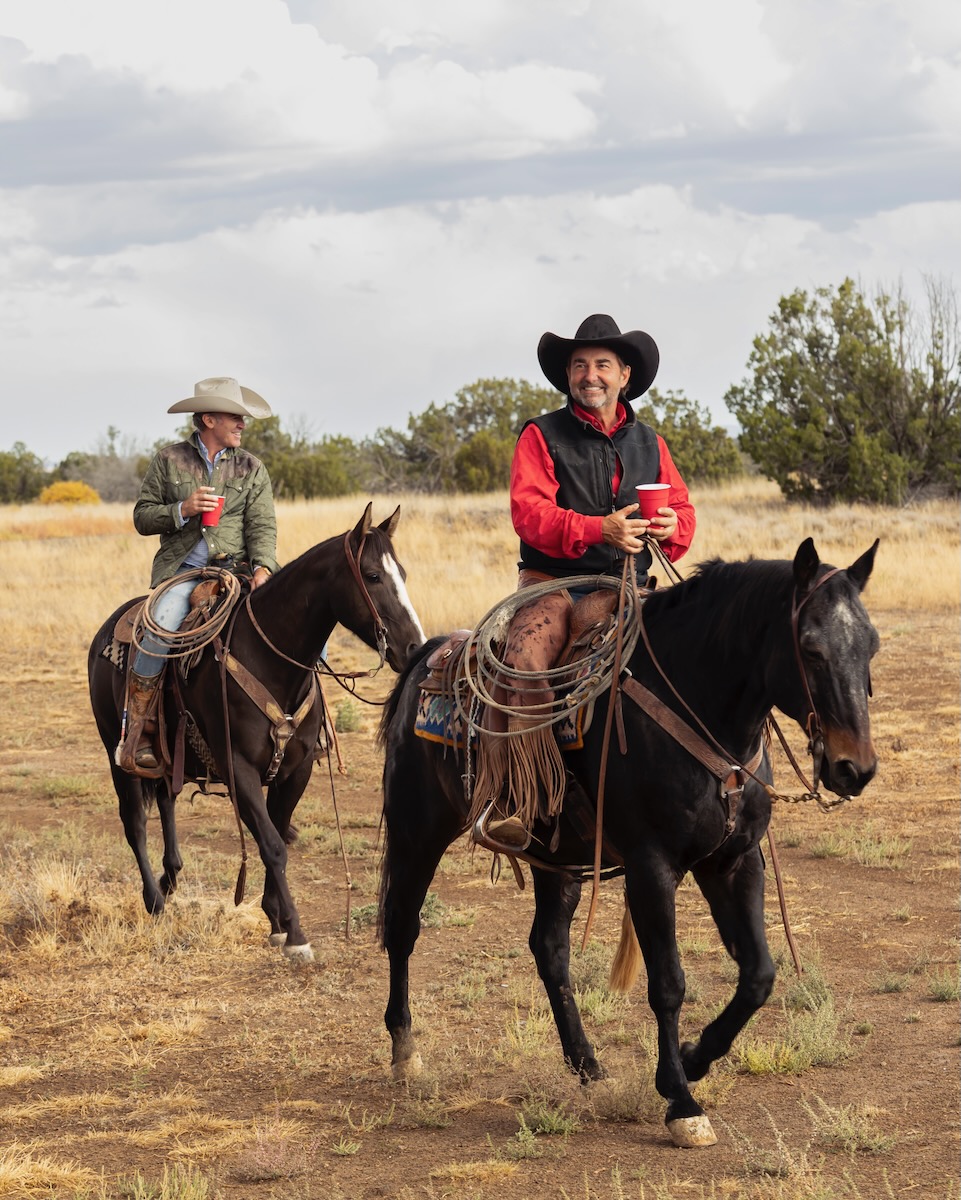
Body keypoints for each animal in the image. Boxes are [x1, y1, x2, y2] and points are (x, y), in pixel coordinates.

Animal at [88, 501, 422, 960]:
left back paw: (170, 879)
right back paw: (154, 900)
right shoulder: (238, 768)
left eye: (402, 573)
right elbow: (272, 844)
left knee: (167, 800)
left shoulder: (296, 770)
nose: (414, 648)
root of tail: (106, 630)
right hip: (116, 751)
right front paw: (295, 934)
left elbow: (276, 834)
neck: (269, 660)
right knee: (134, 820)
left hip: (167, 755)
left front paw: (275, 919)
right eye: (372, 575)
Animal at [376, 540, 878, 1147]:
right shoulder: (651, 866)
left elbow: (758, 975)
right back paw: (405, 1052)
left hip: (556, 860)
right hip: (416, 832)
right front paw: (681, 1100)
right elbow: (668, 983)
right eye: (810, 649)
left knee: (549, 948)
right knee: (403, 928)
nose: (855, 768)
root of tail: (431, 655)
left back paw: (587, 1065)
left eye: (871, 645)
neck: (698, 708)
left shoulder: (734, 863)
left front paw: (694, 1058)